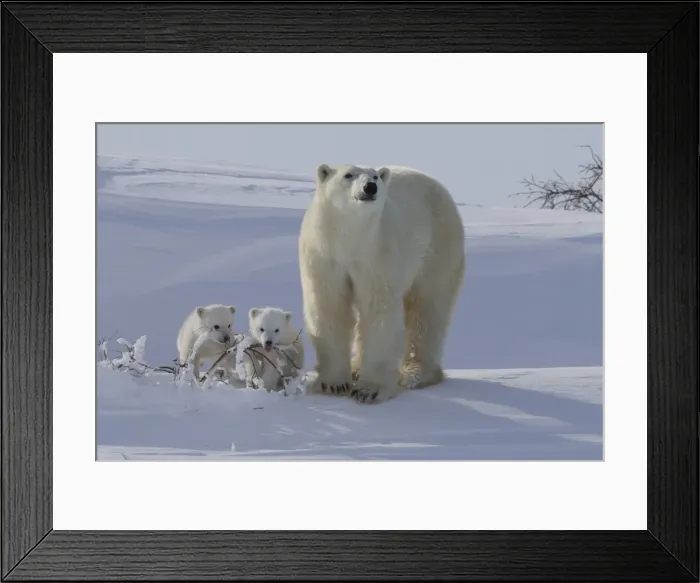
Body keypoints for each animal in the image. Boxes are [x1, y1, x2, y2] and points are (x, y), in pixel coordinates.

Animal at [298, 163, 465, 404]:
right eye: (348, 175)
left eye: (375, 176)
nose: (370, 187)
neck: (351, 239)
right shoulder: (324, 255)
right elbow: (330, 307)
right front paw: (333, 384)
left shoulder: (377, 255)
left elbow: (378, 310)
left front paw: (369, 390)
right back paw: (356, 368)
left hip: (437, 246)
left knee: (428, 308)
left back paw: (416, 373)